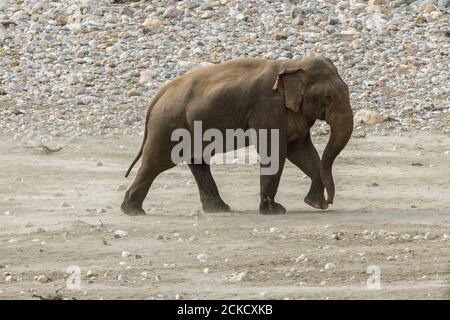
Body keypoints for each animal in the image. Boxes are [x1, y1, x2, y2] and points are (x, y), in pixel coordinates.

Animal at [121, 55, 354, 215]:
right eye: (327, 97)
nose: (330, 202)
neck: (291, 64)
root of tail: (158, 96)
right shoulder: (267, 108)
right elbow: (275, 152)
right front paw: (274, 210)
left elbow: (302, 152)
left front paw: (315, 204)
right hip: (168, 125)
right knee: (155, 163)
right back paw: (132, 211)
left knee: (197, 163)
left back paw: (219, 209)